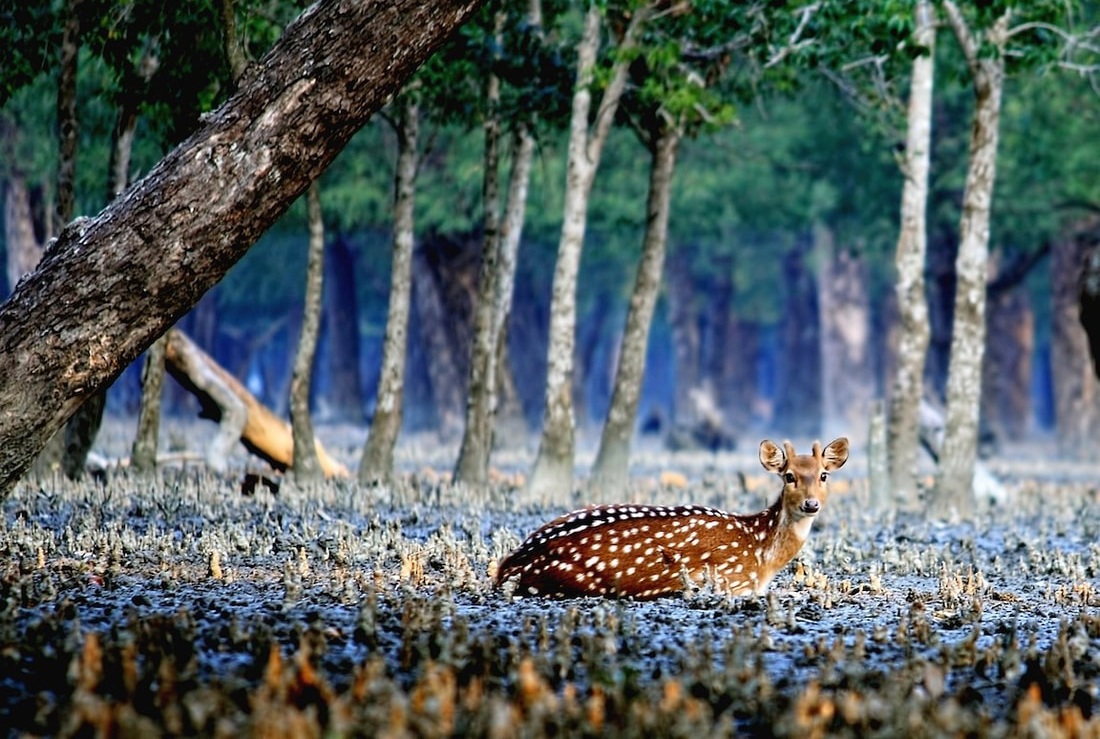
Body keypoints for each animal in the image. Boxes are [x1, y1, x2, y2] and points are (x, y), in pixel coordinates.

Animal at [499, 439, 849, 598]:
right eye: (789, 476)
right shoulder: (733, 580)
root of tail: (508, 567)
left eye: (824, 475)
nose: (811, 504)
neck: (760, 552)